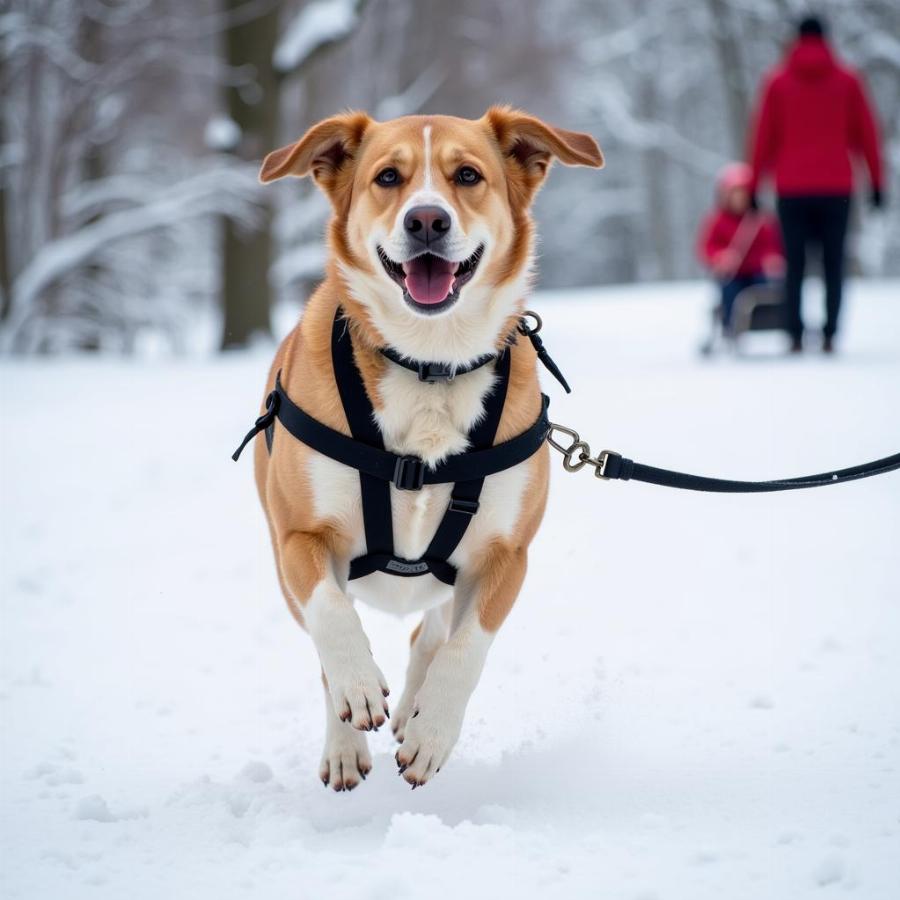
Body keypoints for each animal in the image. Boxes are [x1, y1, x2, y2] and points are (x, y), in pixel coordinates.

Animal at [253, 109, 604, 792]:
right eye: (388, 177)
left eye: (466, 175)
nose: (426, 221)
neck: (429, 363)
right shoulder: (298, 538)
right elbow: (331, 615)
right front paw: (359, 689)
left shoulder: (505, 556)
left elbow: (465, 649)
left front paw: (432, 731)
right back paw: (347, 737)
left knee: (432, 631)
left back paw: (415, 705)